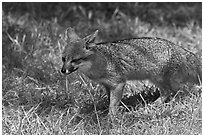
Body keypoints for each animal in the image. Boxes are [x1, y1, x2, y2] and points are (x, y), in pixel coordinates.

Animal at [60, 27, 201, 115]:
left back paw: (151, 106)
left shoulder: (118, 83)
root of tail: (177, 47)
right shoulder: (106, 85)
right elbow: (110, 100)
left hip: (157, 78)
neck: (101, 62)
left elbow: (113, 104)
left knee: (171, 91)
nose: (63, 71)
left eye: (75, 60)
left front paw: (110, 119)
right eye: (63, 59)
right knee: (172, 91)